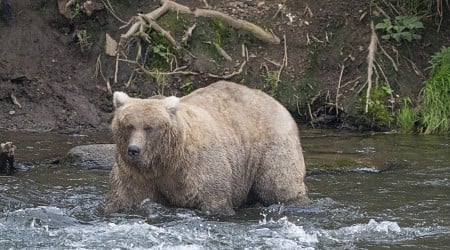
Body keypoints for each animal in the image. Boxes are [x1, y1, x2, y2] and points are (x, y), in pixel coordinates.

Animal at [104, 80, 310, 215]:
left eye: (149, 127)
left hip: (270, 147)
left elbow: (214, 199)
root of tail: (277, 103)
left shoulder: (197, 167)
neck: (165, 161)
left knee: (279, 185)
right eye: (129, 125)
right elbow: (124, 198)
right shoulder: (135, 174)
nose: (134, 150)